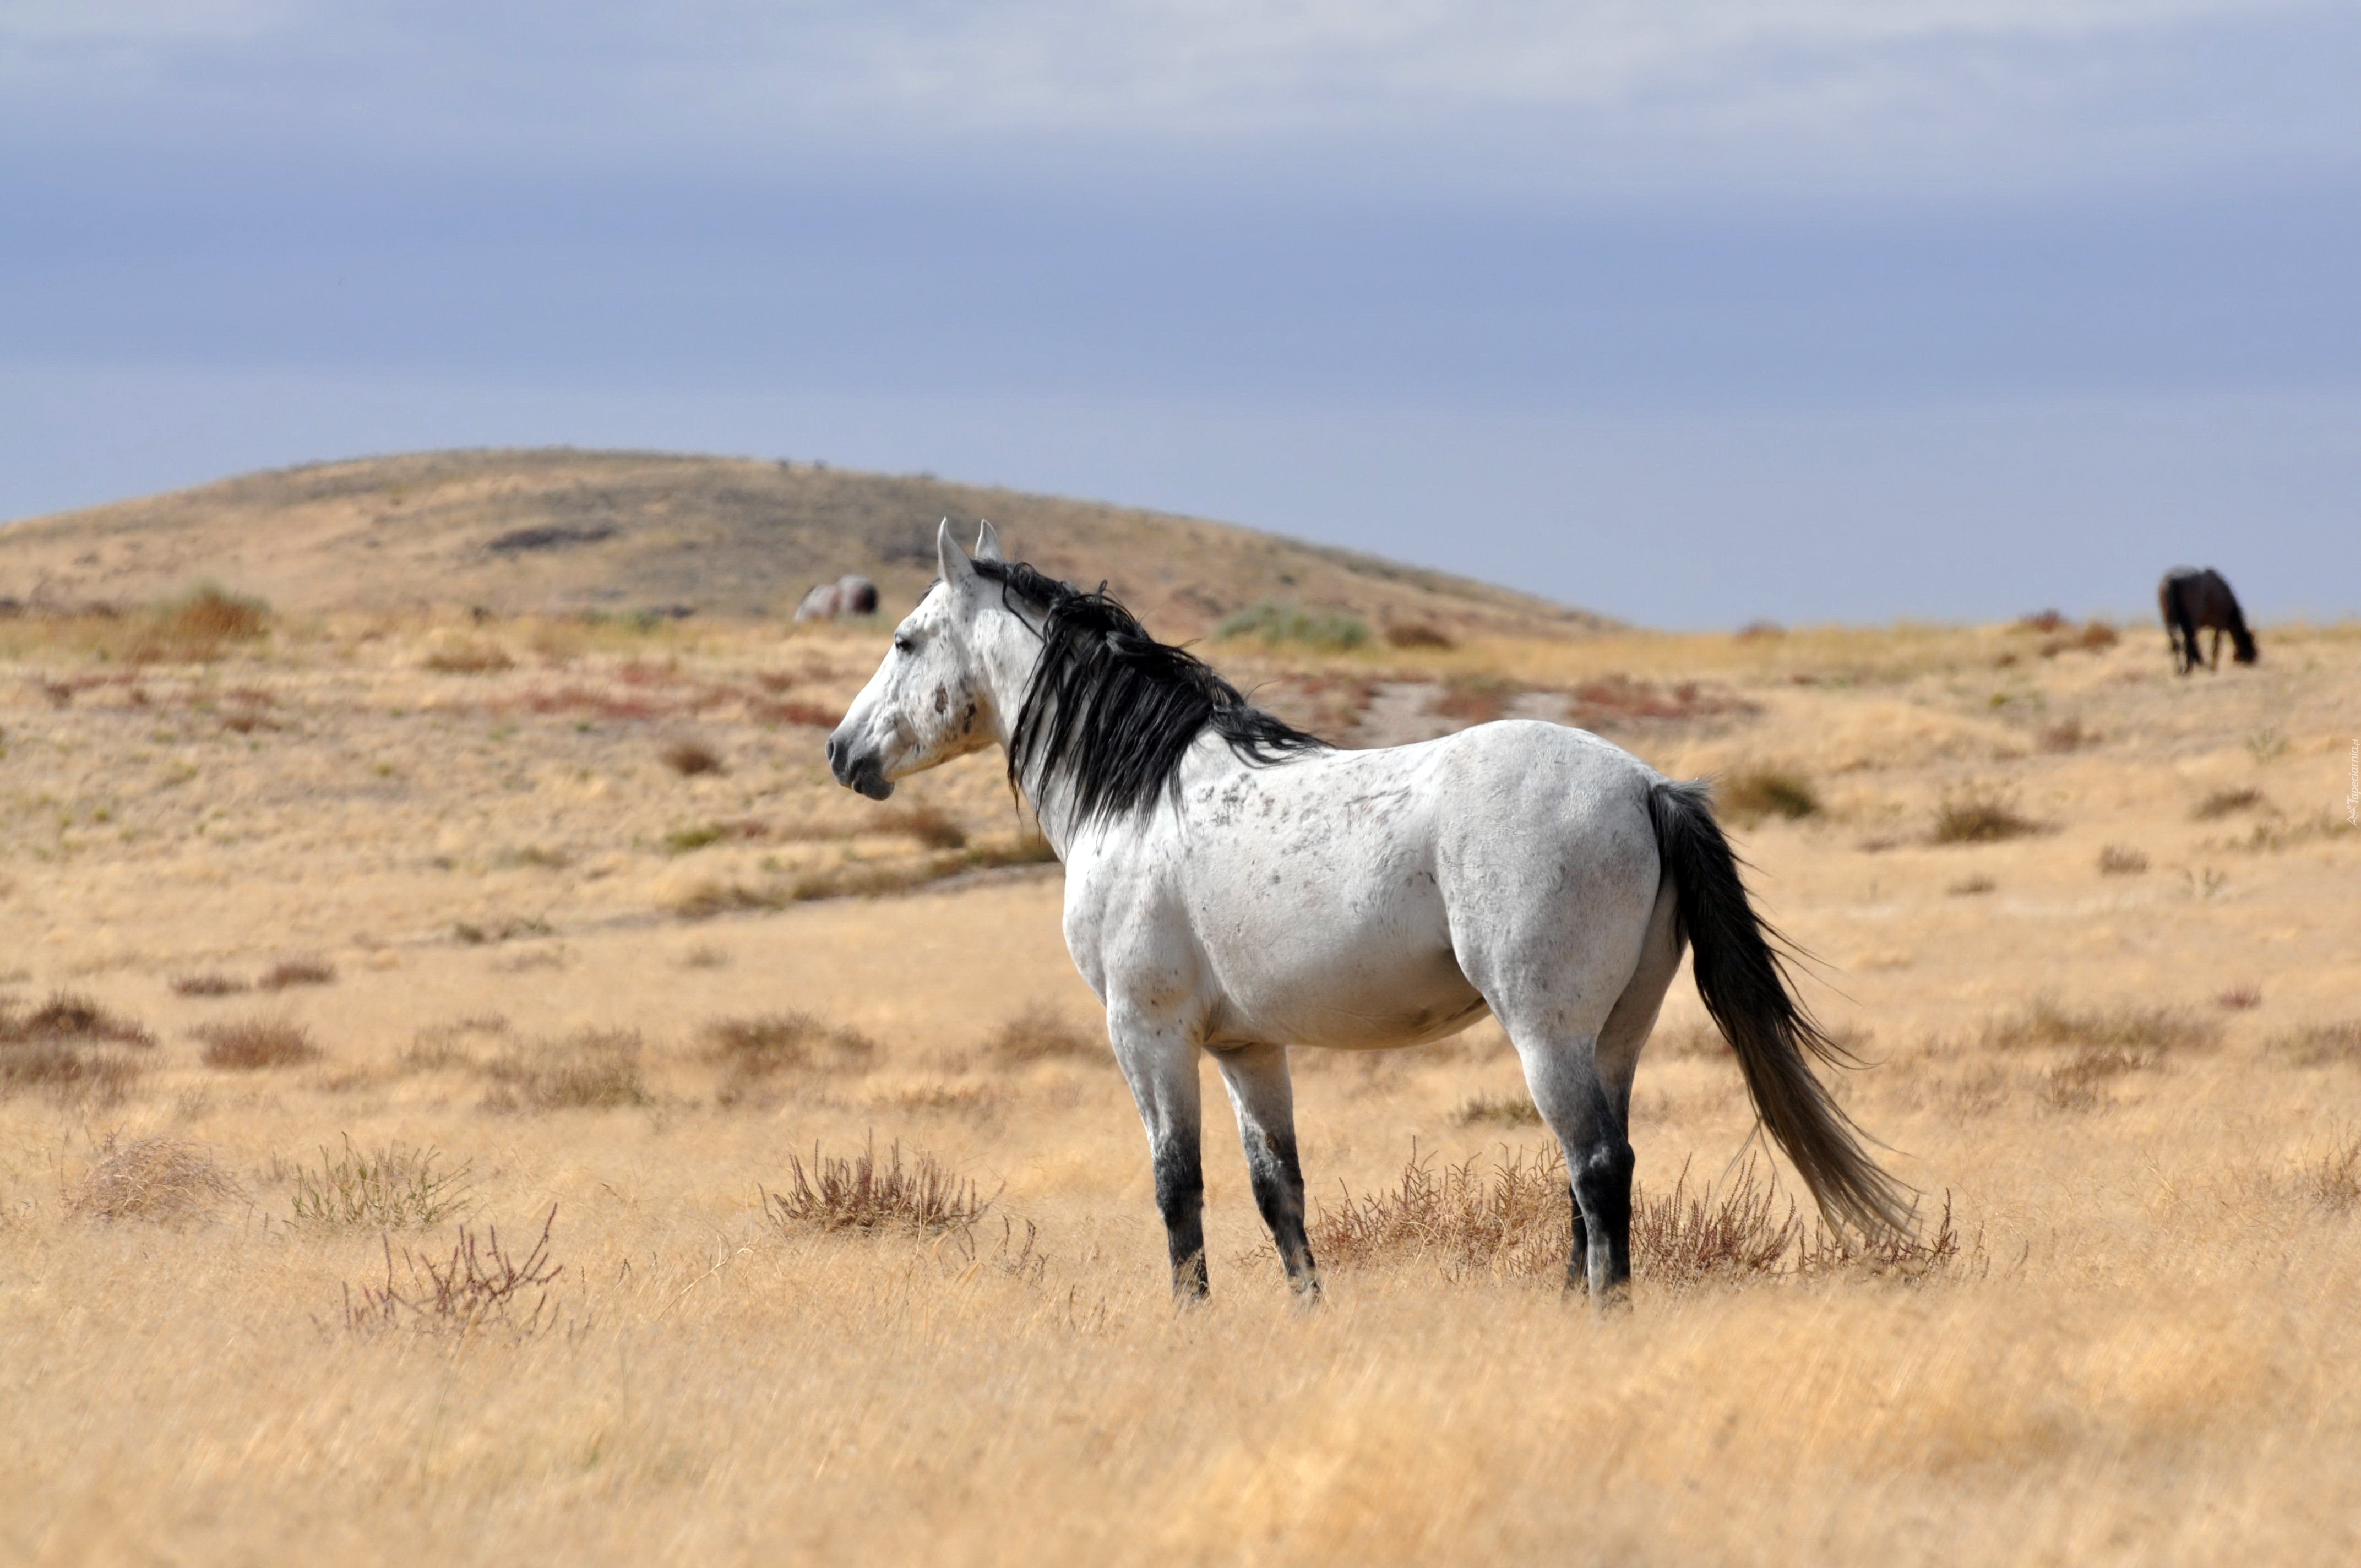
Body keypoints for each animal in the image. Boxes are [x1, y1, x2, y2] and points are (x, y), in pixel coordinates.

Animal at [822, 519, 1907, 1303]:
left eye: (903, 639)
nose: (841, 751)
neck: (1137, 794)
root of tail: (1647, 784)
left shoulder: (1148, 1033)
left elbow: (1178, 1186)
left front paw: (1190, 1321)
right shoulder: (1247, 1047)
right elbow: (1278, 1191)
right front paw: (1308, 1314)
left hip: (1548, 1033)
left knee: (1595, 1166)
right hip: (1614, 1036)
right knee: (1595, 1174)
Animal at [2162, 569, 2248, 680]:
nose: (2252, 658)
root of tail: (2173, 580)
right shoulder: (2219, 626)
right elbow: (2215, 647)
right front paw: (2213, 668)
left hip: (2171, 623)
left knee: (2177, 644)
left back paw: (2181, 670)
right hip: (2190, 624)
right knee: (2188, 644)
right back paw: (2189, 669)